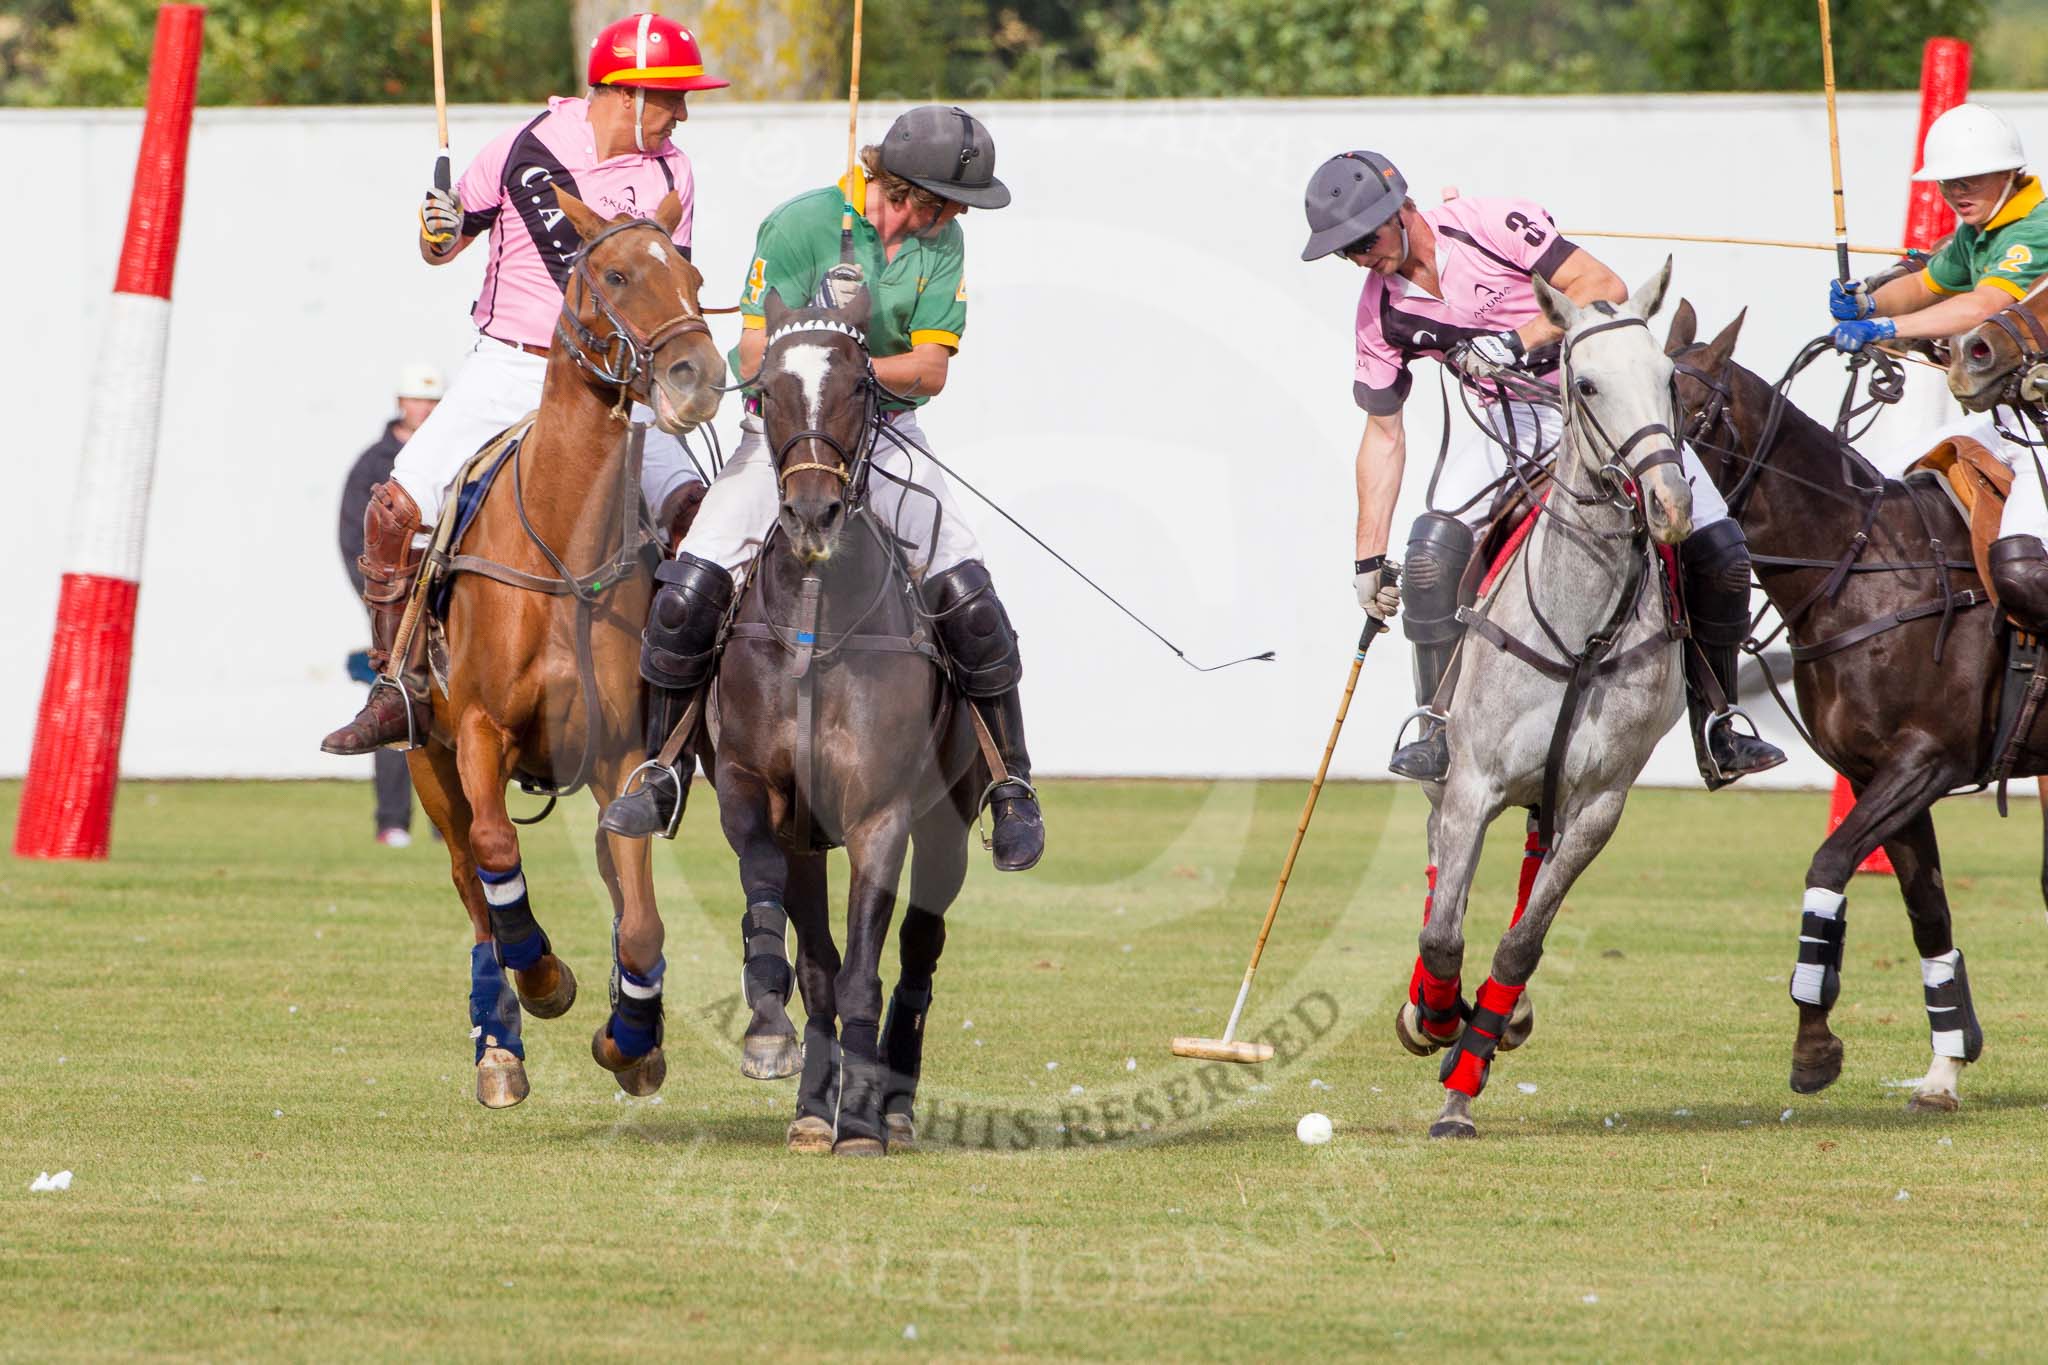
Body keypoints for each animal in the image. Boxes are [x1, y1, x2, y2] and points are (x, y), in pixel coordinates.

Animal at [406, 188, 725, 1108]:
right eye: (614, 274)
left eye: (693, 275)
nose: (699, 374)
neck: (565, 554)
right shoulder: (479, 731)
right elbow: (496, 850)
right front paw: (545, 977)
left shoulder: (622, 753)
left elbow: (644, 915)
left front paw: (632, 1035)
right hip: (426, 757)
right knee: (468, 875)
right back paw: (499, 1044)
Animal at [709, 285, 987, 1156]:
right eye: (766, 387)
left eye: (860, 388)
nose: (811, 513)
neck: (818, 614)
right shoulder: (761, 794)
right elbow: (804, 949)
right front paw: (780, 1053)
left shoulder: (880, 812)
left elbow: (866, 964)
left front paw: (860, 1117)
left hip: (949, 821)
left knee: (920, 950)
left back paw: (893, 1101)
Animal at [1396, 262, 1696, 1140]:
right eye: (1587, 383)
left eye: (1669, 377)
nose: (1671, 504)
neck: (1580, 626)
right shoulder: (1474, 783)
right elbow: (1443, 933)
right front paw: (1436, 1018)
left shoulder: (1599, 803)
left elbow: (1520, 942)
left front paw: (1469, 1072)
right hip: (1447, 768)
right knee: (1437, 861)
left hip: (1555, 794)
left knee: (1530, 868)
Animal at [1669, 300, 2048, 1111]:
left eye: (1689, 409)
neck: (1858, 570)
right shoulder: (1881, 773)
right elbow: (1927, 912)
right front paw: (1944, 1069)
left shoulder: (1926, 759)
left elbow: (1831, 862)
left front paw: (1814, 1046)